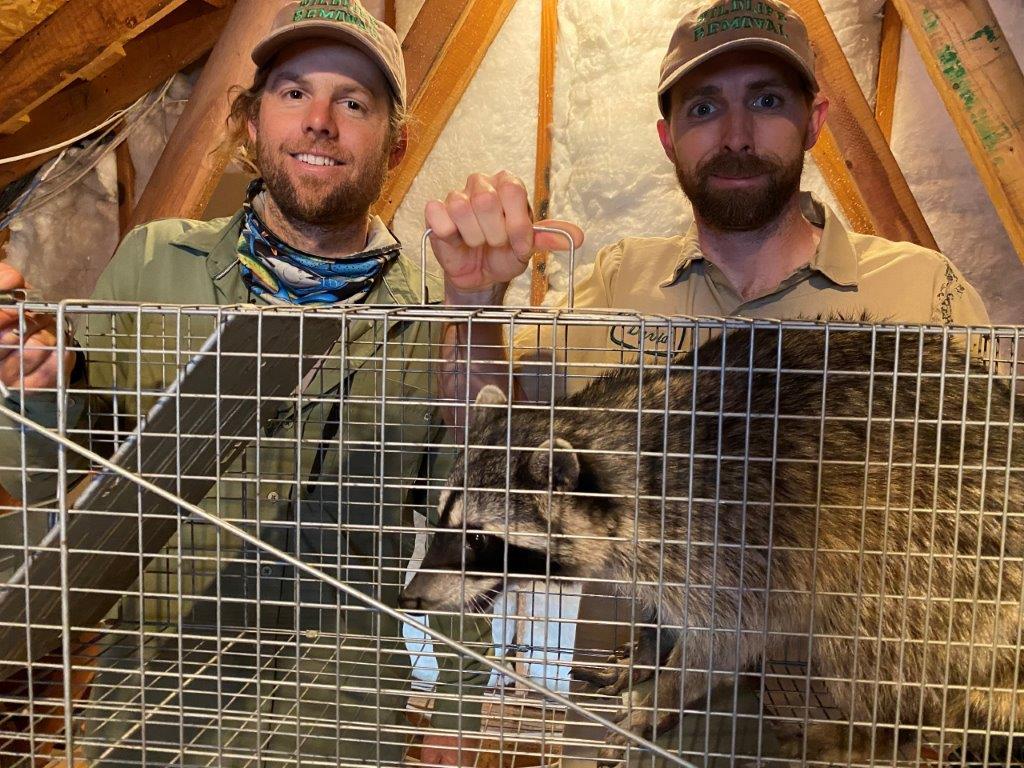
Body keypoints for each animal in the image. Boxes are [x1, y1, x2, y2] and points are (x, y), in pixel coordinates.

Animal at [400, 323, 1024, 764]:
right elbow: (667, 611)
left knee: (871, 637)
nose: (410, 597)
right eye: (443, 519)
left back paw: (868, 731)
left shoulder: (727, 536)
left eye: (479, 538)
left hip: (943, 547)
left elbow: (726, 642)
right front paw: (651, 650)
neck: (605, 437)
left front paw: (664, 693)